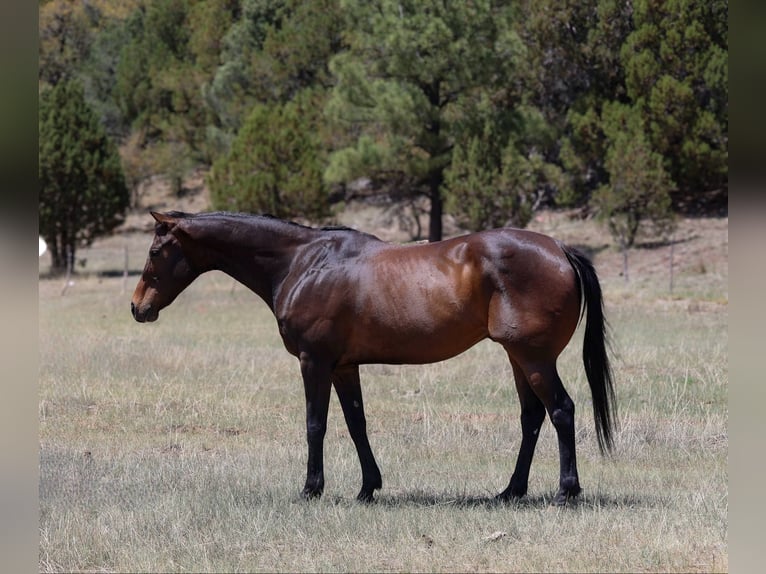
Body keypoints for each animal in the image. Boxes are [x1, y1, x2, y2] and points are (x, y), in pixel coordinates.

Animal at [131, 211, 616, 505]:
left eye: (155, 252)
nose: (138, 308)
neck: (302, 263)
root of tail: (560, 249)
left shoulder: (314, 361)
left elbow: (316, 424)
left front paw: (311, 488)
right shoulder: (345, 366)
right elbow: (356, 423)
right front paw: (368, 487)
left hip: (534, 359)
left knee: (561, 410)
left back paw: (566, 491)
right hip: (518, 358)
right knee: (532, 417)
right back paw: (510, 491)